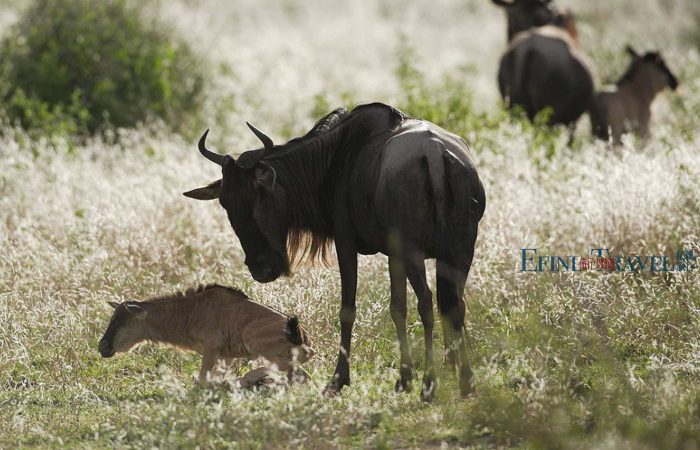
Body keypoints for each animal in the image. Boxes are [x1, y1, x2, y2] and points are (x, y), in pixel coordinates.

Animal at [98, 284, 314, 384]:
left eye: (123, 321)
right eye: (113, 317)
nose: (102, 347)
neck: (192, 310)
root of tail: (302, 336)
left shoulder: (212, 348)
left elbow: (202, 380)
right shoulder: (225, 356)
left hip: (252, 339)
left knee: (289, 365)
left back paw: (247, 379)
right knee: (302, 373)